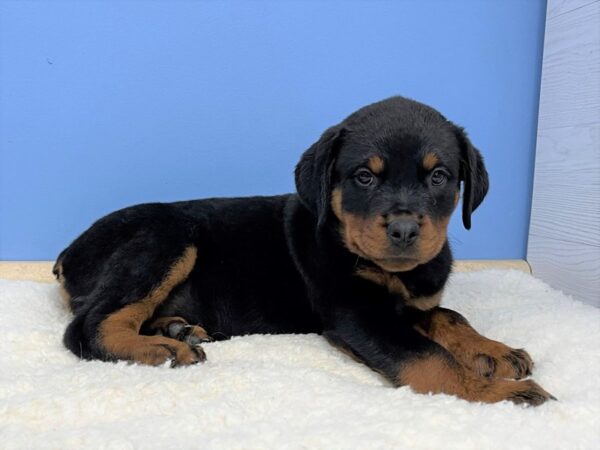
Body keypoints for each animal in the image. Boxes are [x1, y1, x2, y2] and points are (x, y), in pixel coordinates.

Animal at [55, 96, 552, 406]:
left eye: (439, 176)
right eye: (364, 177)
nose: (405, 228)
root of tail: (66, 254)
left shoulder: (403, 305)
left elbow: (449, 317)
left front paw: (495, 352)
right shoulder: (356, 313)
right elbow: (429, 358)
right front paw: (498, 394)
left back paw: (177, 330)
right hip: (168, 235)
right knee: (86, 327)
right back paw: (162, 348)